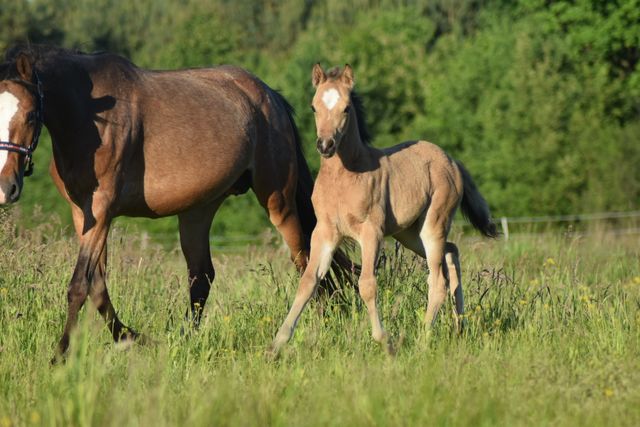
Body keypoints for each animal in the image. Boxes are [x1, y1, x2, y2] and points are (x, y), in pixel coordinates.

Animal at [0, 46, 350, 362]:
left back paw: (320, 326)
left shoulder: (101, 210)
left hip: (278, 201)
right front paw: (131, 338)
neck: (88, 118)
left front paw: (60, 355)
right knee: (202, 275)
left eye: (30, 114)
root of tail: (270, 96)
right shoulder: (82, 213)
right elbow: (97, 285)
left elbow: (79, 284)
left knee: (307, 263)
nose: (7, 188)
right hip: (199, 210)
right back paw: (183, 339)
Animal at [268, 64, 496, 358]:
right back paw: (459, 327)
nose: (325, 145)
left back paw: (423, 340)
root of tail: (452, 161)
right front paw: (276, 344)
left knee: (437, 280)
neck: (344, 178)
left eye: (346, 108)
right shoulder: (325, 232)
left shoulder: (371, 232)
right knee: (451, 252)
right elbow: (307, 282)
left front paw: (384, 341)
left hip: (433, 224)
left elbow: (367, 284)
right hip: (410, 233)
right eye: (314, 107)